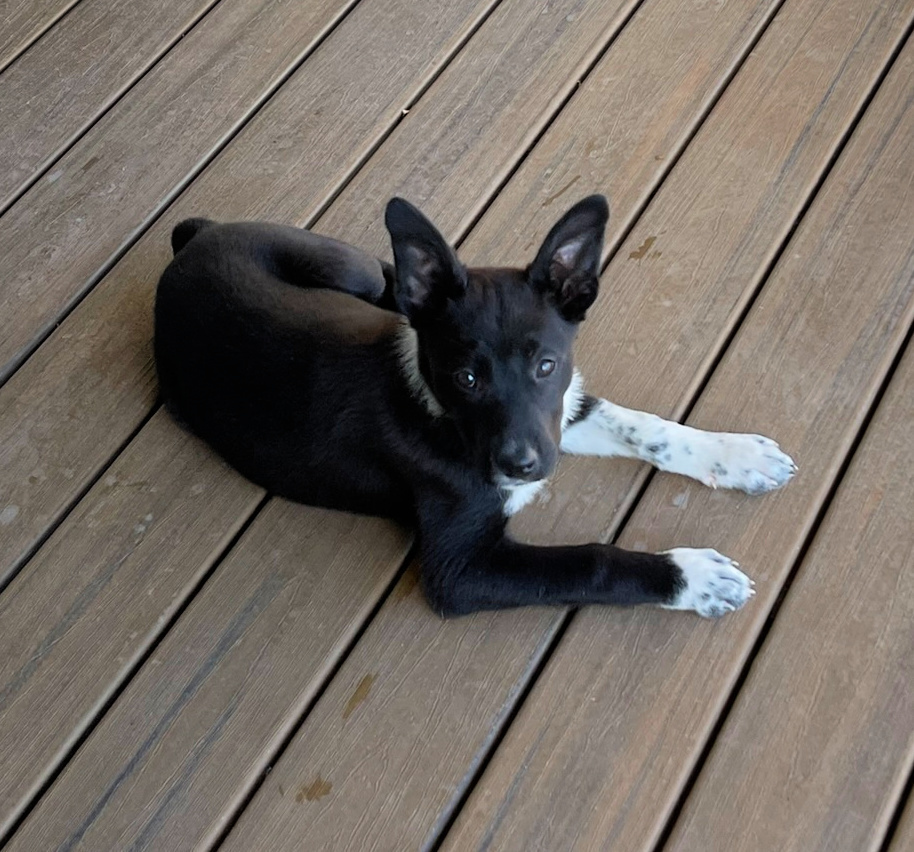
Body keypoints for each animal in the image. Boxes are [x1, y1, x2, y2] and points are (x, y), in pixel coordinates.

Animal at [155, 196, 792, 616]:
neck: (438, 410)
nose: (521, 466)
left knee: (393, 284)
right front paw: (693, 577)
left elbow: (645, 428)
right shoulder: (458, 571)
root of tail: (194, 240)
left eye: (546, 366)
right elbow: (590, 562)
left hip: (350, 271)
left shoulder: (557, 415)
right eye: (465, 378)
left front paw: (738, 456)